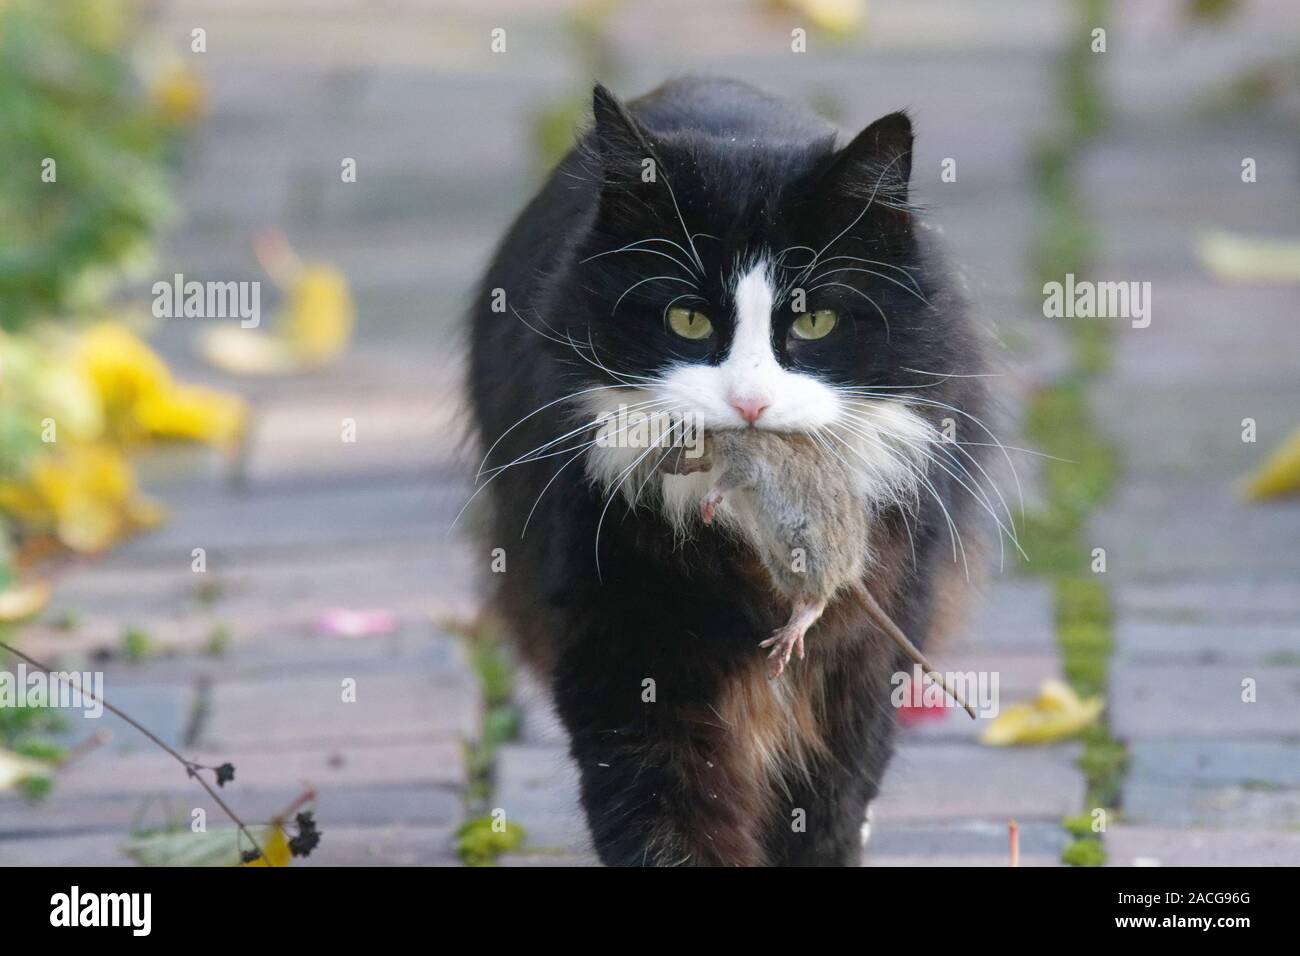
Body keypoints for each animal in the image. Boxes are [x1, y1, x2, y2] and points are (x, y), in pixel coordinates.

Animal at [467, 80, 993, 868]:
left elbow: (828, 804)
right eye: (687, 321)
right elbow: (665, 810)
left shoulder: (870, 646)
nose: (749, 403)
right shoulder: (622, 635)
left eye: (812, 324)